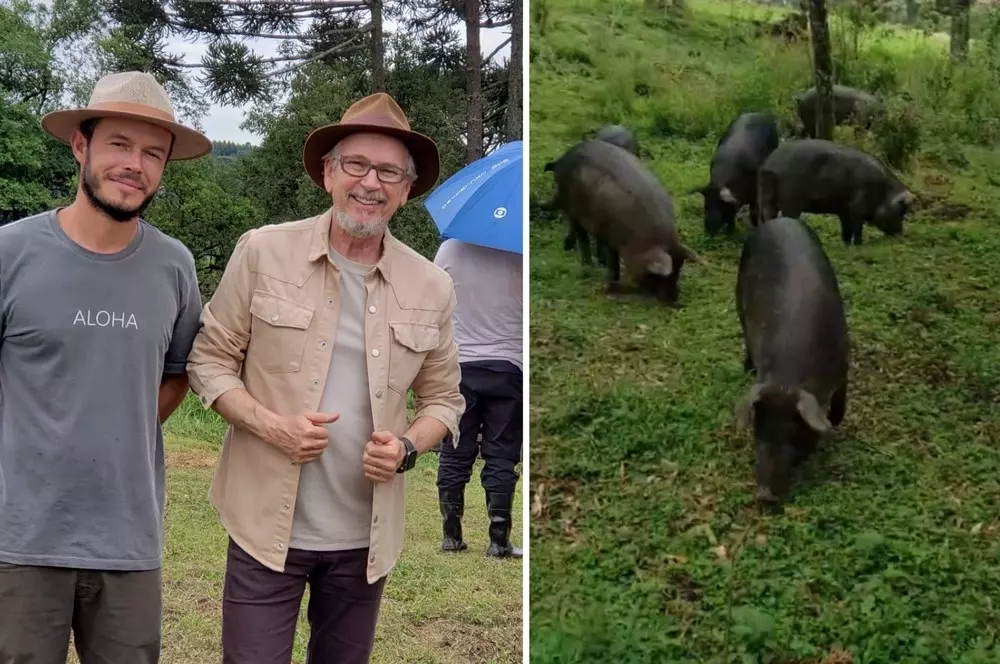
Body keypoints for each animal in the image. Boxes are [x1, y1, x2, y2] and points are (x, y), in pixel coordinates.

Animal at [548, 141, 696, 306]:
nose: (675, 300)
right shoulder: (612, 239)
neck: (644, 241)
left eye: (679, 269)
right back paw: (586, 267)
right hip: (572, 209)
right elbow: (614, 264)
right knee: (582, 237)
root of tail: (561, 161)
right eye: (657, 277)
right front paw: (608, 286)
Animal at [732, 217, 848, 504]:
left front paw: (834, 423)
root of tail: (778, 220)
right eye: (758, 430)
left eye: (793, 434)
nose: (764, 495)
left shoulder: (844, 363)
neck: (788, 379)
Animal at [756, 139, 916, 245]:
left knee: (767, 214)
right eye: (901, 211)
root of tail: (770, 164)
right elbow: (857, 227)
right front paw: (858, 244)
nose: (901, 234)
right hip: (790, 200)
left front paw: (846, 244)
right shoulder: (857, 207)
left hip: (767, 196)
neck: (884, 191)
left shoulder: (844, 209)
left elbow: (847, 227)